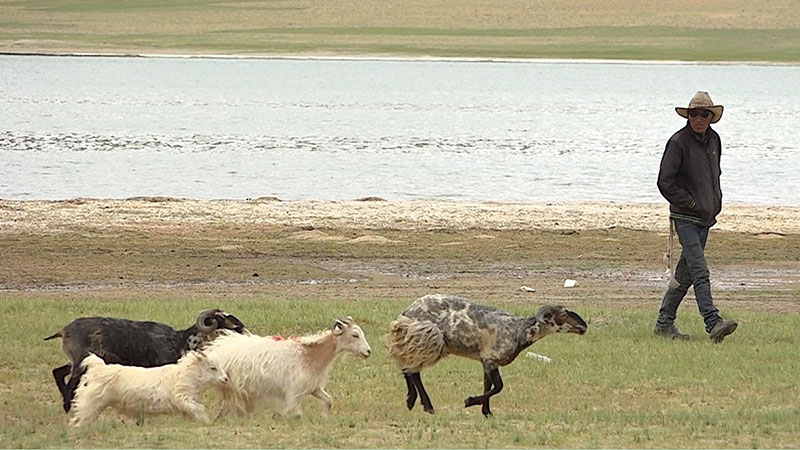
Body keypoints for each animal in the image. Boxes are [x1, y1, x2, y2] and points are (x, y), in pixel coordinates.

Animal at [43, 310, 244, 412]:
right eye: (221, 318)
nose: (241, 327)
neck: (181, 341)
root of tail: (64, 330)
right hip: (80, 361)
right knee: (69, 384)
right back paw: (68, 407)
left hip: (74, 361)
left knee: (58, 372)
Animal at [69, 350, 228, 428]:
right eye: (212, 368)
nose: (226, 379)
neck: (185, 374)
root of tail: (99, 367)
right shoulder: (184, 397)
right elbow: (199, 409)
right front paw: (207, 422)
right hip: (90, 404)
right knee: (78, 420)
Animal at [388, 294, 588, 416]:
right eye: (563, 313)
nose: (584, 326)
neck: (519, 331)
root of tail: (407, 311)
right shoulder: (491, 359)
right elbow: (499, 386)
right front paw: (470, 401)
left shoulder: (486, 360)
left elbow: (487, 385)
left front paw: (486, 412)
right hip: (426, 337)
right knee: (413, 370)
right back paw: (426, 405)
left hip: (416, 340)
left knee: (409, 368)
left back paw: (412, 400)